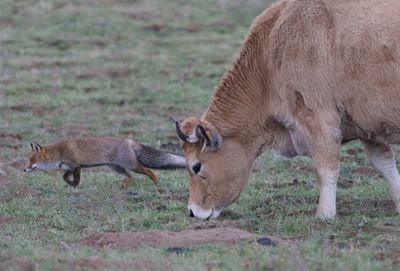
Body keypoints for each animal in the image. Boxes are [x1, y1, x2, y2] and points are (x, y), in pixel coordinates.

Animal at [24, 138, 187, 189]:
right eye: (28, 160)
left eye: (32, 161)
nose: (24, 169)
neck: (59, 152)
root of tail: (128, 140)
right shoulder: (71, 167)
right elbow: (64, 177)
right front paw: (70, 185)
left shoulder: (76, 165)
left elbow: (72, 179)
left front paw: (74, 186)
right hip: (116, 167)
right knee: (129, 176)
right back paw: (123, 187)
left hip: (131, 165)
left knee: (149, 171)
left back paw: (157, 185)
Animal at [174, 0, 400, 220]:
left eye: (196, 166)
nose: (192, 211)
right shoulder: (367, 126)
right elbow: (384, 163)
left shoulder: (316, 118)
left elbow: (325, 167)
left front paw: (324, 215)